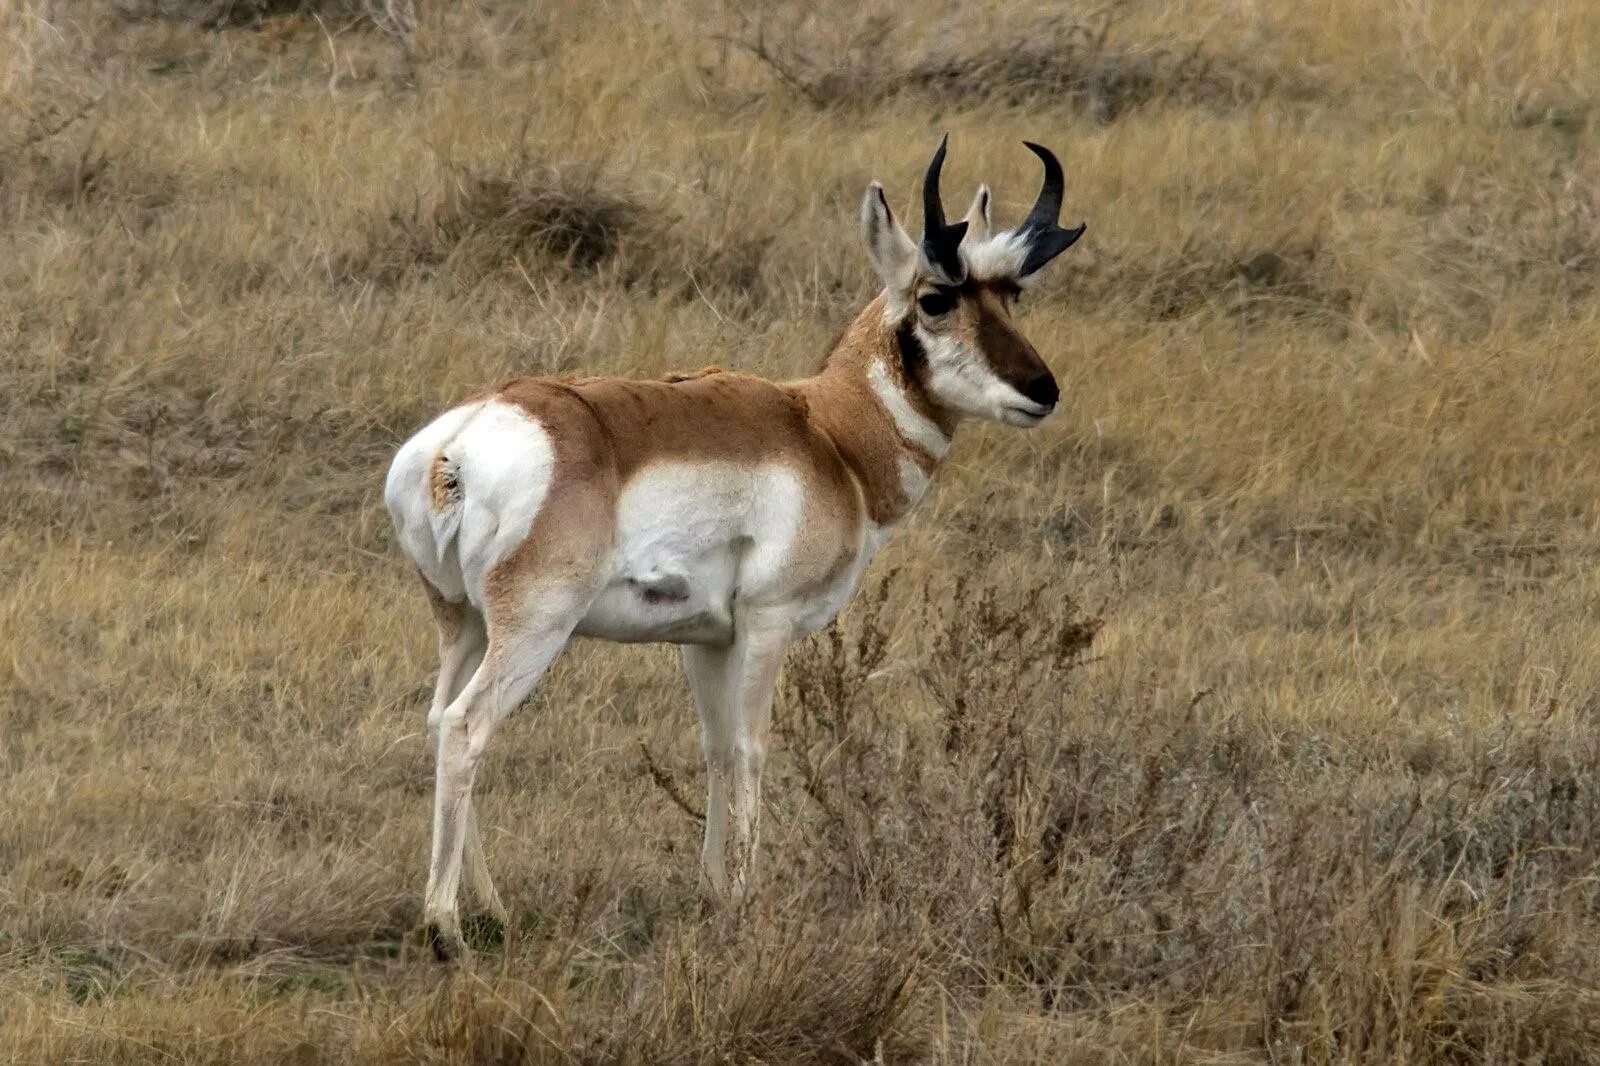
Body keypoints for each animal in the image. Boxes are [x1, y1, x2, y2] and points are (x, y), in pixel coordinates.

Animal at [387, 135, 1088, 953]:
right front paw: (747, 904)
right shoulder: (766, 623)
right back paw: (445, 926)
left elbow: (718, 749)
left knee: (439, 721)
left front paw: (714, 894)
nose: (1042, 389)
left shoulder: (705, 639)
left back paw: (492, 909)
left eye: (1013, 296)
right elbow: (753, 748)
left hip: (462, 622)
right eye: (936, 298)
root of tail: (462, 440)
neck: (826, 433)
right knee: (467, 726)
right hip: (533, 630)